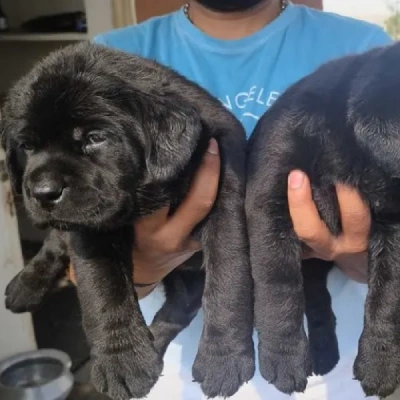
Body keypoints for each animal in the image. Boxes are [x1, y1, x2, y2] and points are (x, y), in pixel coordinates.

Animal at [1, 43, 255, 400]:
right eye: (26, 145)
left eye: (95, 137)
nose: (43, 192)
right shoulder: (90, 228)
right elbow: (104, 288)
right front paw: (123, 361)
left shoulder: (226, 198)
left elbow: (229, 278)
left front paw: (225, 358)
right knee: (54, 242)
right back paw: (25, 286)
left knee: (179, 309)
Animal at [247, 40, 400, 396]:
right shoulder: (269, 199)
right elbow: (278, 283)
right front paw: (283, 357)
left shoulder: (394, 223)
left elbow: (388, 294)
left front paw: (381, 361)